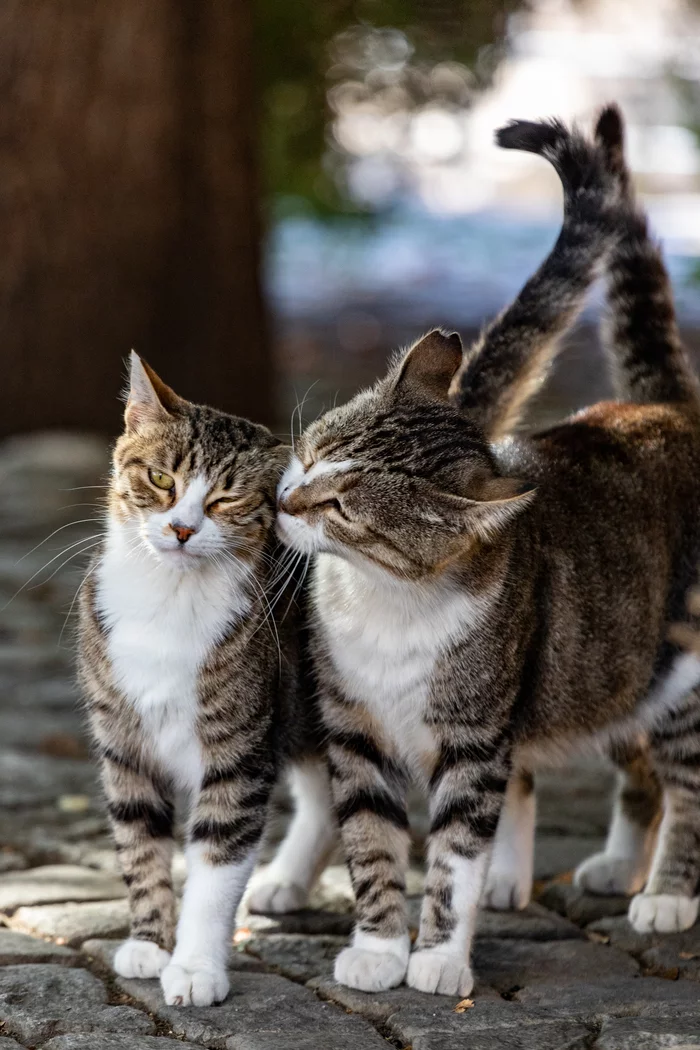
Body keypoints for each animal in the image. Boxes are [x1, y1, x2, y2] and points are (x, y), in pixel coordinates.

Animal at [260, 108, 700, 999]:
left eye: (344, 506)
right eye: (312, 452)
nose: (284, 501)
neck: (383, 604)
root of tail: (666, 408)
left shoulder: (474, 734)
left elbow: (453, 850)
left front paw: (435, 957)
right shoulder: (355, 728)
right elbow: (372, 844)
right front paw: (378, 947)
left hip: (662, 670)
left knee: (687, 783)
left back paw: (668, 893)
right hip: (595, 670)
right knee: (630, 767)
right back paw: (601, 866)